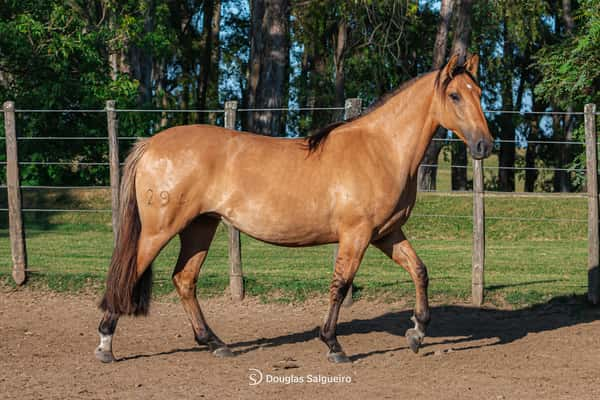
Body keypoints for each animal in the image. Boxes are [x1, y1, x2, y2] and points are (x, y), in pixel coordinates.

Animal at [96, 54, 492, 364]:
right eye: (455, 95)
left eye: (479, 93)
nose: (484, 146)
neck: (380, 149)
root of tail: (151, 144)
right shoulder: (357, 235)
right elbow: (340, 285)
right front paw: (333, 345)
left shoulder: (387, 234)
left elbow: (419, 271)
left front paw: (418, 332)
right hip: (160, 229)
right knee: (129, 274)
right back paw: (105, 344)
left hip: (200, 227)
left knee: (184, 280)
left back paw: (215, 343)